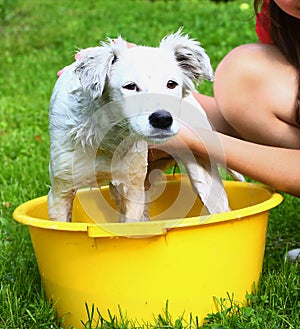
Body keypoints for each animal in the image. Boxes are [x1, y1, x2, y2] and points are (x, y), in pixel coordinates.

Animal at [48, 30, 232, 223]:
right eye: (130, 86)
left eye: (171, 84)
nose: (162, 119)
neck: (108, 138)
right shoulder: (60, 192)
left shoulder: (133, 190)